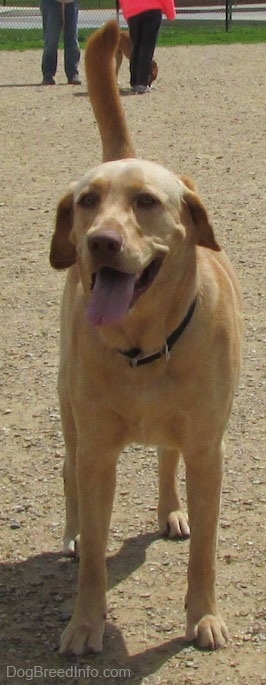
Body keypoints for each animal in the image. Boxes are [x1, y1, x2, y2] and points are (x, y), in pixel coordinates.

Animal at [50, 18, 243, 656]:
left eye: (146, 202)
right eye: (88, 202)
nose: (100, 242)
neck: (143, 346)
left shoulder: (208, 449)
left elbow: (205, 551)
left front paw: (204, 616)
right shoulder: (97, 453)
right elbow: (94, 556)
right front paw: (85, 623)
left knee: (165, 455)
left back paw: (171, 512)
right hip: (69, 411)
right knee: (68, 475)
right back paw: (72, 534)